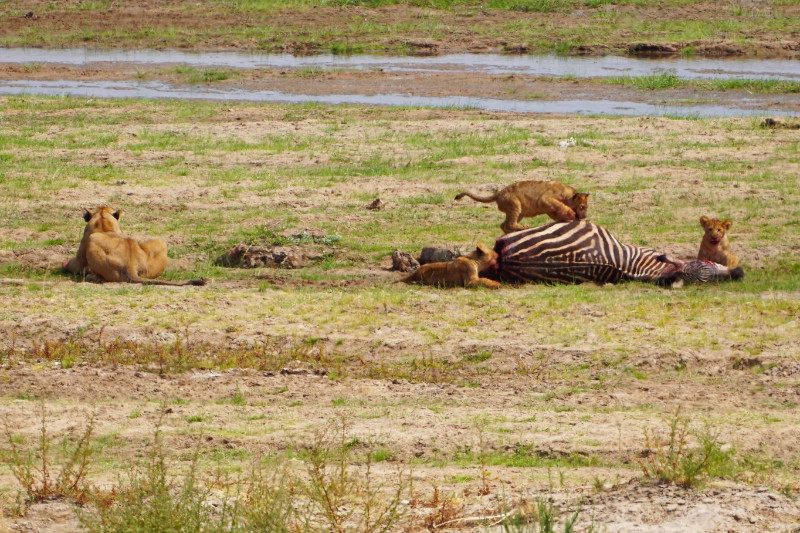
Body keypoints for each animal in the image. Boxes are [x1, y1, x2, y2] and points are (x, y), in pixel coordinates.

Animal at [63, 206, 207, 286]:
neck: (104, 223)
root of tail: (130, 267)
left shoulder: (82, 253)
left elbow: (73, 264)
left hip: (93, 241)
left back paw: (91, 277)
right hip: (161, 242)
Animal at [455, 180, 589, 234]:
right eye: (582, 207)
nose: (585, 216)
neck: (567, 194)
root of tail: (498, 193)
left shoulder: (549, 208)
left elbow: (557, 212)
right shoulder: (545, 199)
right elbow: (560, 206)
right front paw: (571, 214)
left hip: (518, 212)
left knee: (504, 225)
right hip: (515, 204)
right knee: (510, 224)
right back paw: (523, 227)